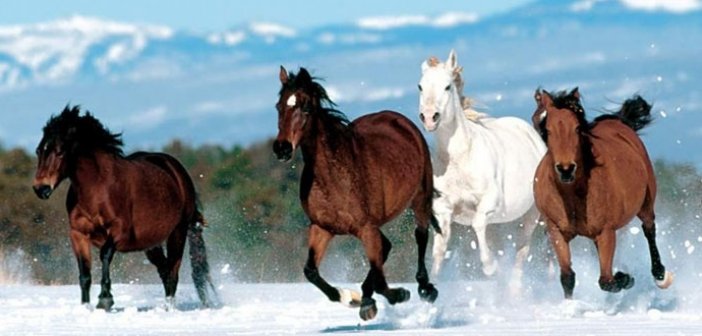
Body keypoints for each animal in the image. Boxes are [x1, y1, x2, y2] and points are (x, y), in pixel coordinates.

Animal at [31, 106, 217, 312]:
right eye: (38, 150)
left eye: (60, 152)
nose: (41, 188)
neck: (97, 187)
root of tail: (177, 171)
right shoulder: (78, 234)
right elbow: (84, 274)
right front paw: (86, 307)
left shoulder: (120, 232)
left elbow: (105, 254)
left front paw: (105, 299)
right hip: (151, 243)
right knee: (164, 270)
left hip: (178, 232)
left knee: (172, 273)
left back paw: (170, 308)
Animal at [276, 65, 440, 320]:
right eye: (279, 106)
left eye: (306, 108)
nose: (281, 148)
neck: (334, 178)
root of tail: (398, 119)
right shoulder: (322, 228)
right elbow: (310, 272)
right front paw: (351, 298)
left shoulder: (366, 227)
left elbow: (382, 281)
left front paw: (400, 294)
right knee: (386, 247)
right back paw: (365, 299)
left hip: (420, 198)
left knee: (420, 236)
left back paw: (425, 289)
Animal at [418, 48, 552, 288]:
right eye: (420, 86)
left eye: (447, 86)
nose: (429, 117)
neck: (461, 159)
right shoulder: (443, 210)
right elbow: (439, 251)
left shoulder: (490, 203)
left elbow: (478, 224)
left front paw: (491, 268)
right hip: (500, 224)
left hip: (530, 216)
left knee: (521, 252)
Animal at [532, 88, 676, 298]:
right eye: (548, 130)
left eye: (577, 128)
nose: (566, 169)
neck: (572, 195)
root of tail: (617, 121)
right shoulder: (556, 231)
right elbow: (567, 277)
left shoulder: (606, 232)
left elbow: (606, 281)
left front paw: (625, 278)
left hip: (645, 203)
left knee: (649, 229)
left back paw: (660, 276)